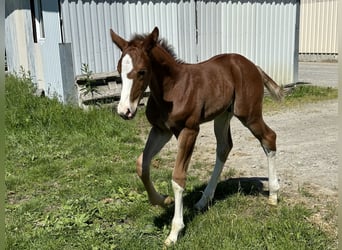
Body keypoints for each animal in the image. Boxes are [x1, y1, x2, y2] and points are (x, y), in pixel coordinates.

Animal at [110, 27, 284, 246]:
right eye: (119, 71)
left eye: (142, 71)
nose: (124, 111)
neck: (172, 88)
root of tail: (254, 66)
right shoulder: (161, 130)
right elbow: (141, 164)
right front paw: (162, 200)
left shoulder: (189, 130)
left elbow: (178, 177)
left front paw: (174, 232)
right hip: (222, 115)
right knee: (224, 147)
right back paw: (203, 200)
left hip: (248, 114)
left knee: (269, 137)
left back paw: (273, 195)